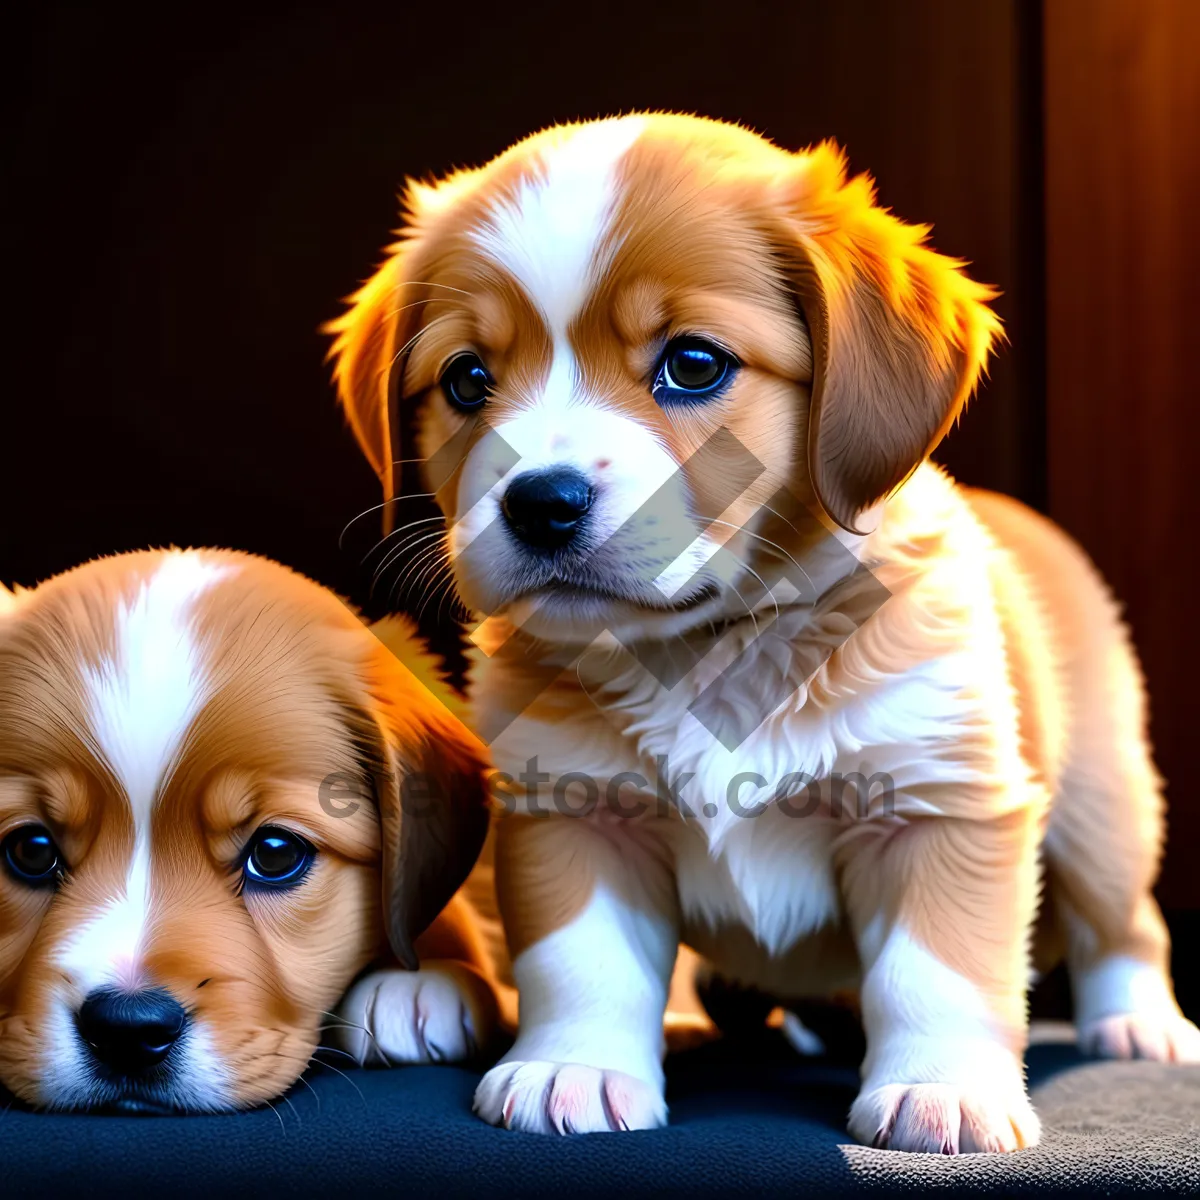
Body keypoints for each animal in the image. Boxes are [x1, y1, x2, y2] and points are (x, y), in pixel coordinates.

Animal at [328, 117, 1200, 1156]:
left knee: (1126, 925)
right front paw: (575, 1068)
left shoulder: (941, 803)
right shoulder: (575, 811)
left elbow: (937, 968)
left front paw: (941, 1089)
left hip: (1108, 807)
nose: (541, 502)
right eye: (467, 380)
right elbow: (583, 965)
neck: (710, 648)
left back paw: (1139, 1023)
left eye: (694, 363)